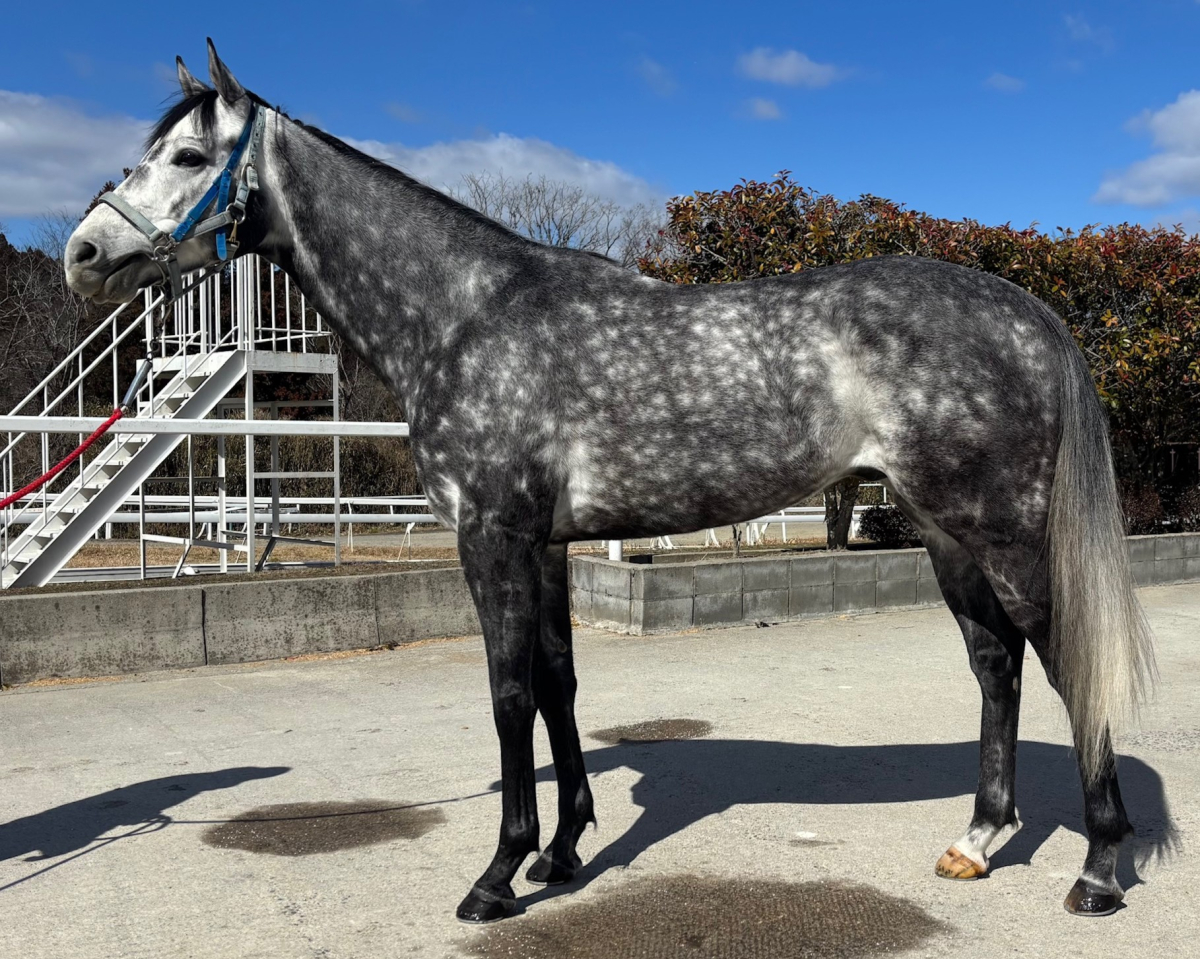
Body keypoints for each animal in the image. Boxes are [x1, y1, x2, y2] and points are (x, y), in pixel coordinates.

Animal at [63, 40, 1155, 924]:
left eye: (189, 158)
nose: (83, 253)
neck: (465, 316)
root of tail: (1026, 310)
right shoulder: (546, 545)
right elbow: (559, 682)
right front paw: (560, 850)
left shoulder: (493, 538)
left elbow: (507, 693)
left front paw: (497, 874)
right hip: (942, 531)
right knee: (996, 664)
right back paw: (976, 839)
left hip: (1003, 531)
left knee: (1062, 658)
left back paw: (1100, 869)